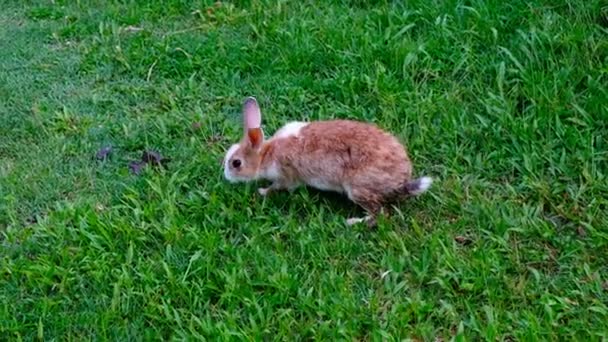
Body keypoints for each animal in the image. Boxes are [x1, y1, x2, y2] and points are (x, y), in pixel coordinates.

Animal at [223, 95, 432, 227]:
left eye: (236, 163)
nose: (226, 177)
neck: (266, 154)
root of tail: (402, 181)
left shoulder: (286, 176)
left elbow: (278, 186)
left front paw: (263, 191)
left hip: (358, 188)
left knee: (379, 214)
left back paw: (353, 222)